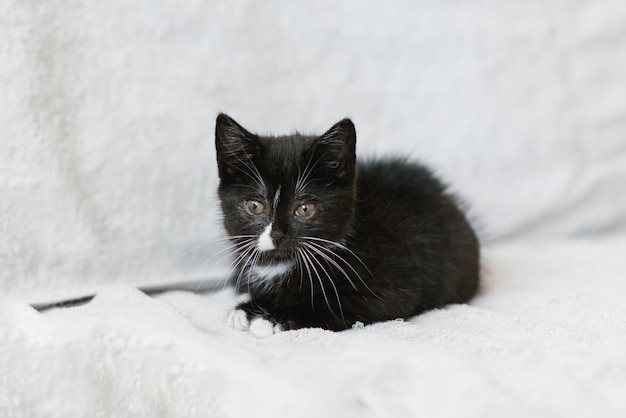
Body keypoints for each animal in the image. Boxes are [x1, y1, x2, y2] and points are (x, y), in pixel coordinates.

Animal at [214, 113, 478, 336]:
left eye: (305, 209)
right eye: (255, 206)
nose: (277, 235)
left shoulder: (391, 290)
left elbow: (329, 305)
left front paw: (270, 318)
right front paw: (246, 309)